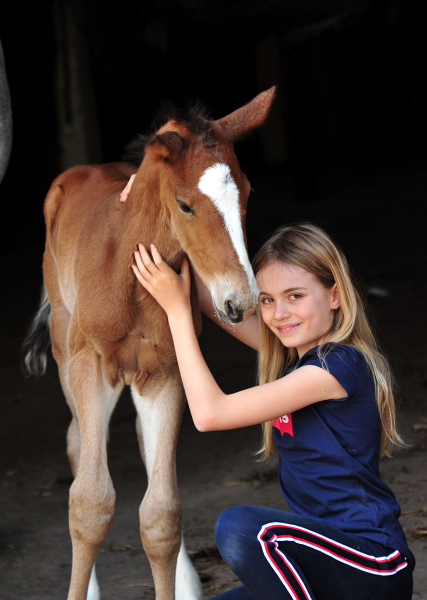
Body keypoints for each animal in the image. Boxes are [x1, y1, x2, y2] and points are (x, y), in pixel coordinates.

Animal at [25, 86, 276, 596]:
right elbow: (89, 502)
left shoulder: (166, 373)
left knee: (143, 444)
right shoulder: (87, 364)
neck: (129, 277)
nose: (240, 302)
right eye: (185, 204)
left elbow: (161, 515)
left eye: (246, 193)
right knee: (78, 442)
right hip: (63, 350)